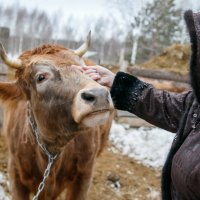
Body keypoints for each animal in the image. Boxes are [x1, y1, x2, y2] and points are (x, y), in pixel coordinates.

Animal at [0, 32, 114, 199]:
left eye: (83, 68)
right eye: (41, 77)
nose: (99, 95)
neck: (51, 153)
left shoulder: (84, 175)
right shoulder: (15, 175)